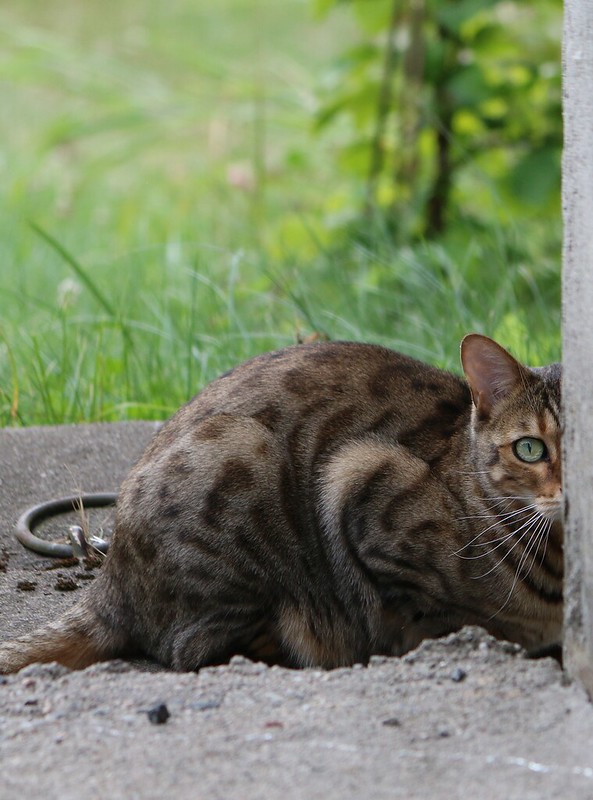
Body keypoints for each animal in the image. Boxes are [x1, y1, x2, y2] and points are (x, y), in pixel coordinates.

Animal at [0, 333, 562, 673]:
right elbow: (427, 616)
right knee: (196, 648)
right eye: (530, 448)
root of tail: (110, 577)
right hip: (242, 459)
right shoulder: (359, 478)